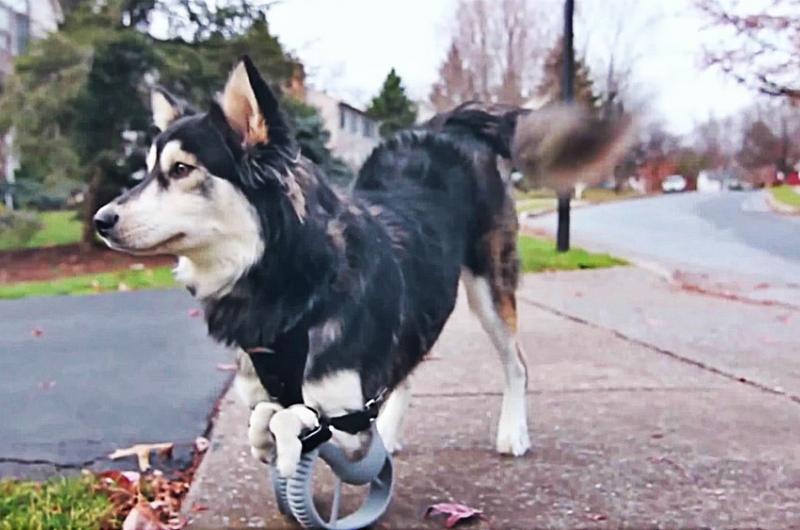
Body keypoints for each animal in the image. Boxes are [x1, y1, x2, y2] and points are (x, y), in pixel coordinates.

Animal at [95, 56, 632, 474]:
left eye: (181, 170)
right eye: (146, 170)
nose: (101, 220)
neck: (292, 282)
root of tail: (448, 129)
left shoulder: (348, 418)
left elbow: (292, 417)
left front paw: (285, 438)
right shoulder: (274, 390)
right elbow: (264, 415)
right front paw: (269, 442)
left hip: (490, 286)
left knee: (515, 363)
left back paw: (512, 431)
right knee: (406, 366)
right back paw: (389, 431)